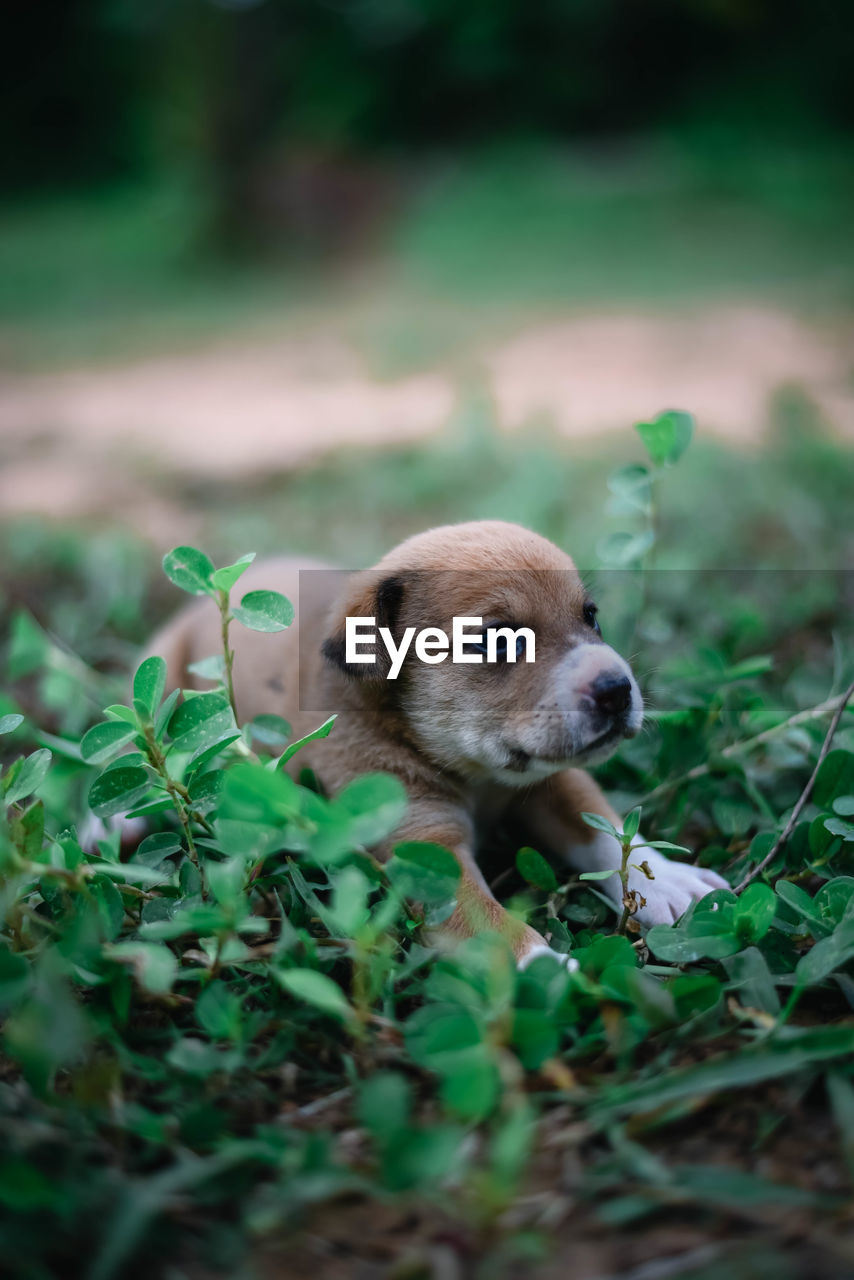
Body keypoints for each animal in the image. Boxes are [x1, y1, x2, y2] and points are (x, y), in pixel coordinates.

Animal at [150, 519, 727, 962]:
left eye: (592, 617)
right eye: (500, 640)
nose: (617, 690)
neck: (481, 778)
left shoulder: (555, 782)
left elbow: (605, 829)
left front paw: (666, 880)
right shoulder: (428, 852)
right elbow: (500, 931)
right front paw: (553, 974)